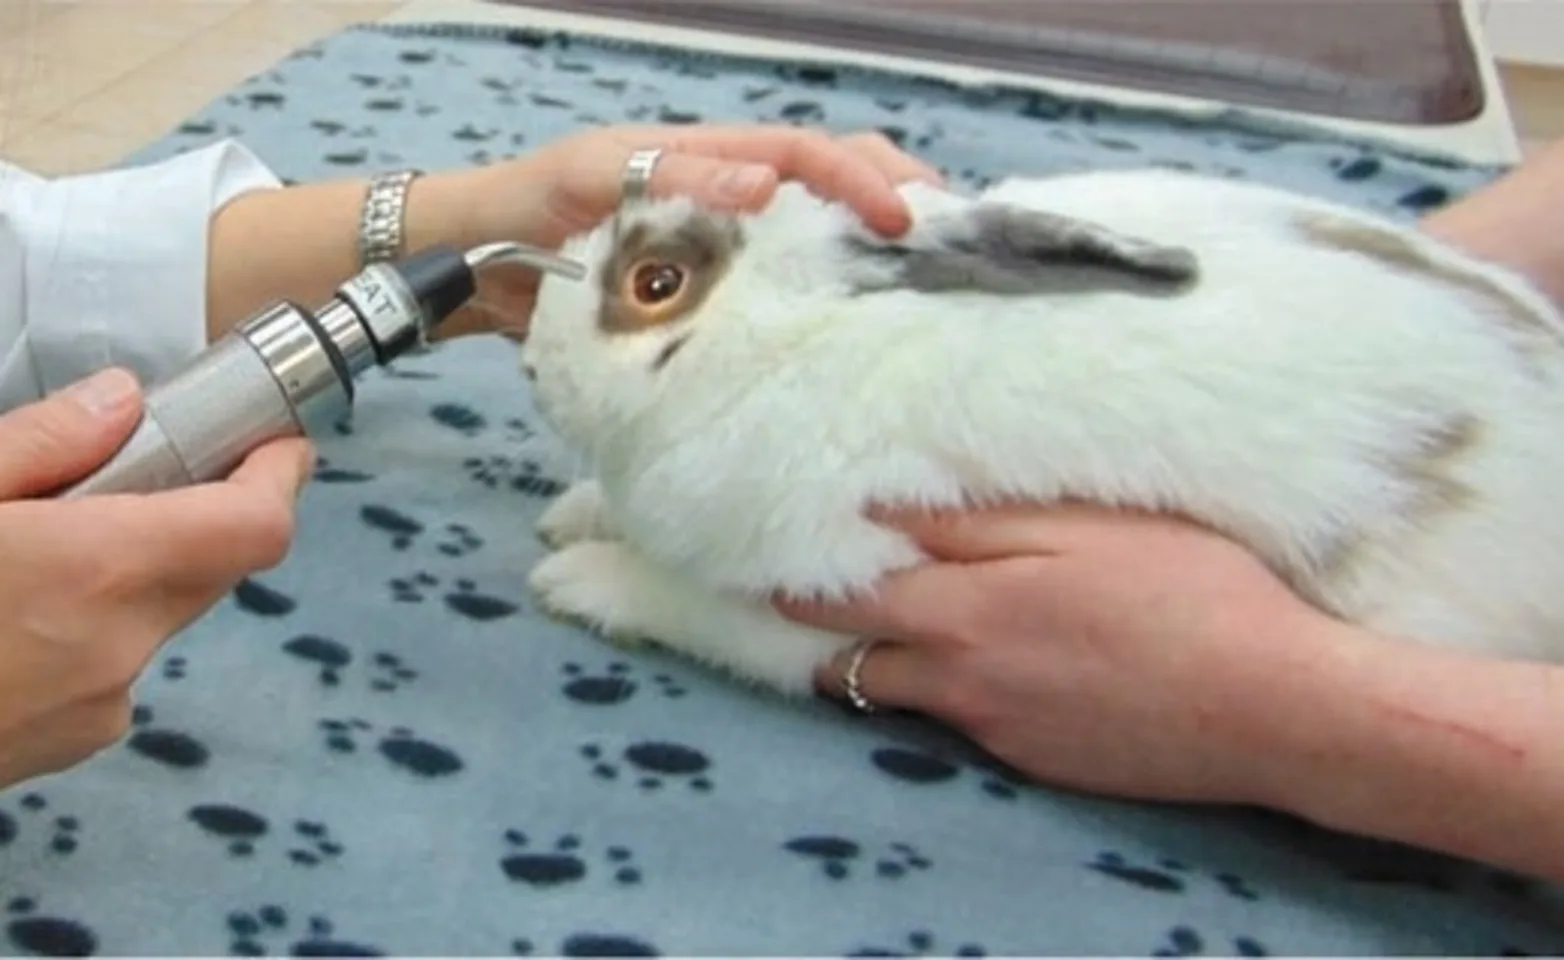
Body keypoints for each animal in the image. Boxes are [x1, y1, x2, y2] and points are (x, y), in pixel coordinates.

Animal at [517, 166, 1564, 698]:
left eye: (657, 284)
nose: (530, 361)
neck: (798, 341)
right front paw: (577, 515)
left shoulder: (835, 581)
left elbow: (694, 609)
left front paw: (577, 580)